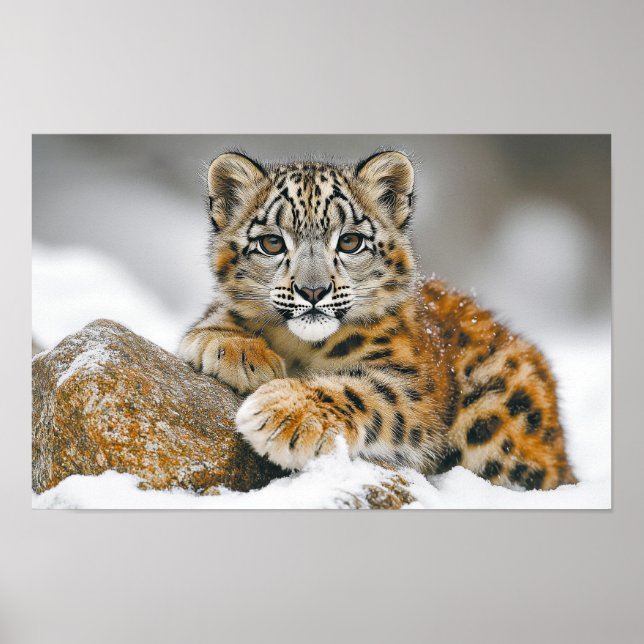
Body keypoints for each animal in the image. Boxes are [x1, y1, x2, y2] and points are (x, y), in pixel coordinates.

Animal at [177, 150, 577, 490]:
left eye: (350, 241)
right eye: (272, 243)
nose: (312, 290)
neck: (302, 347)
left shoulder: (412, 384)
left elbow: (365, 391)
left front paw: (285, 413)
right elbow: (220, 314)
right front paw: (238, 350)